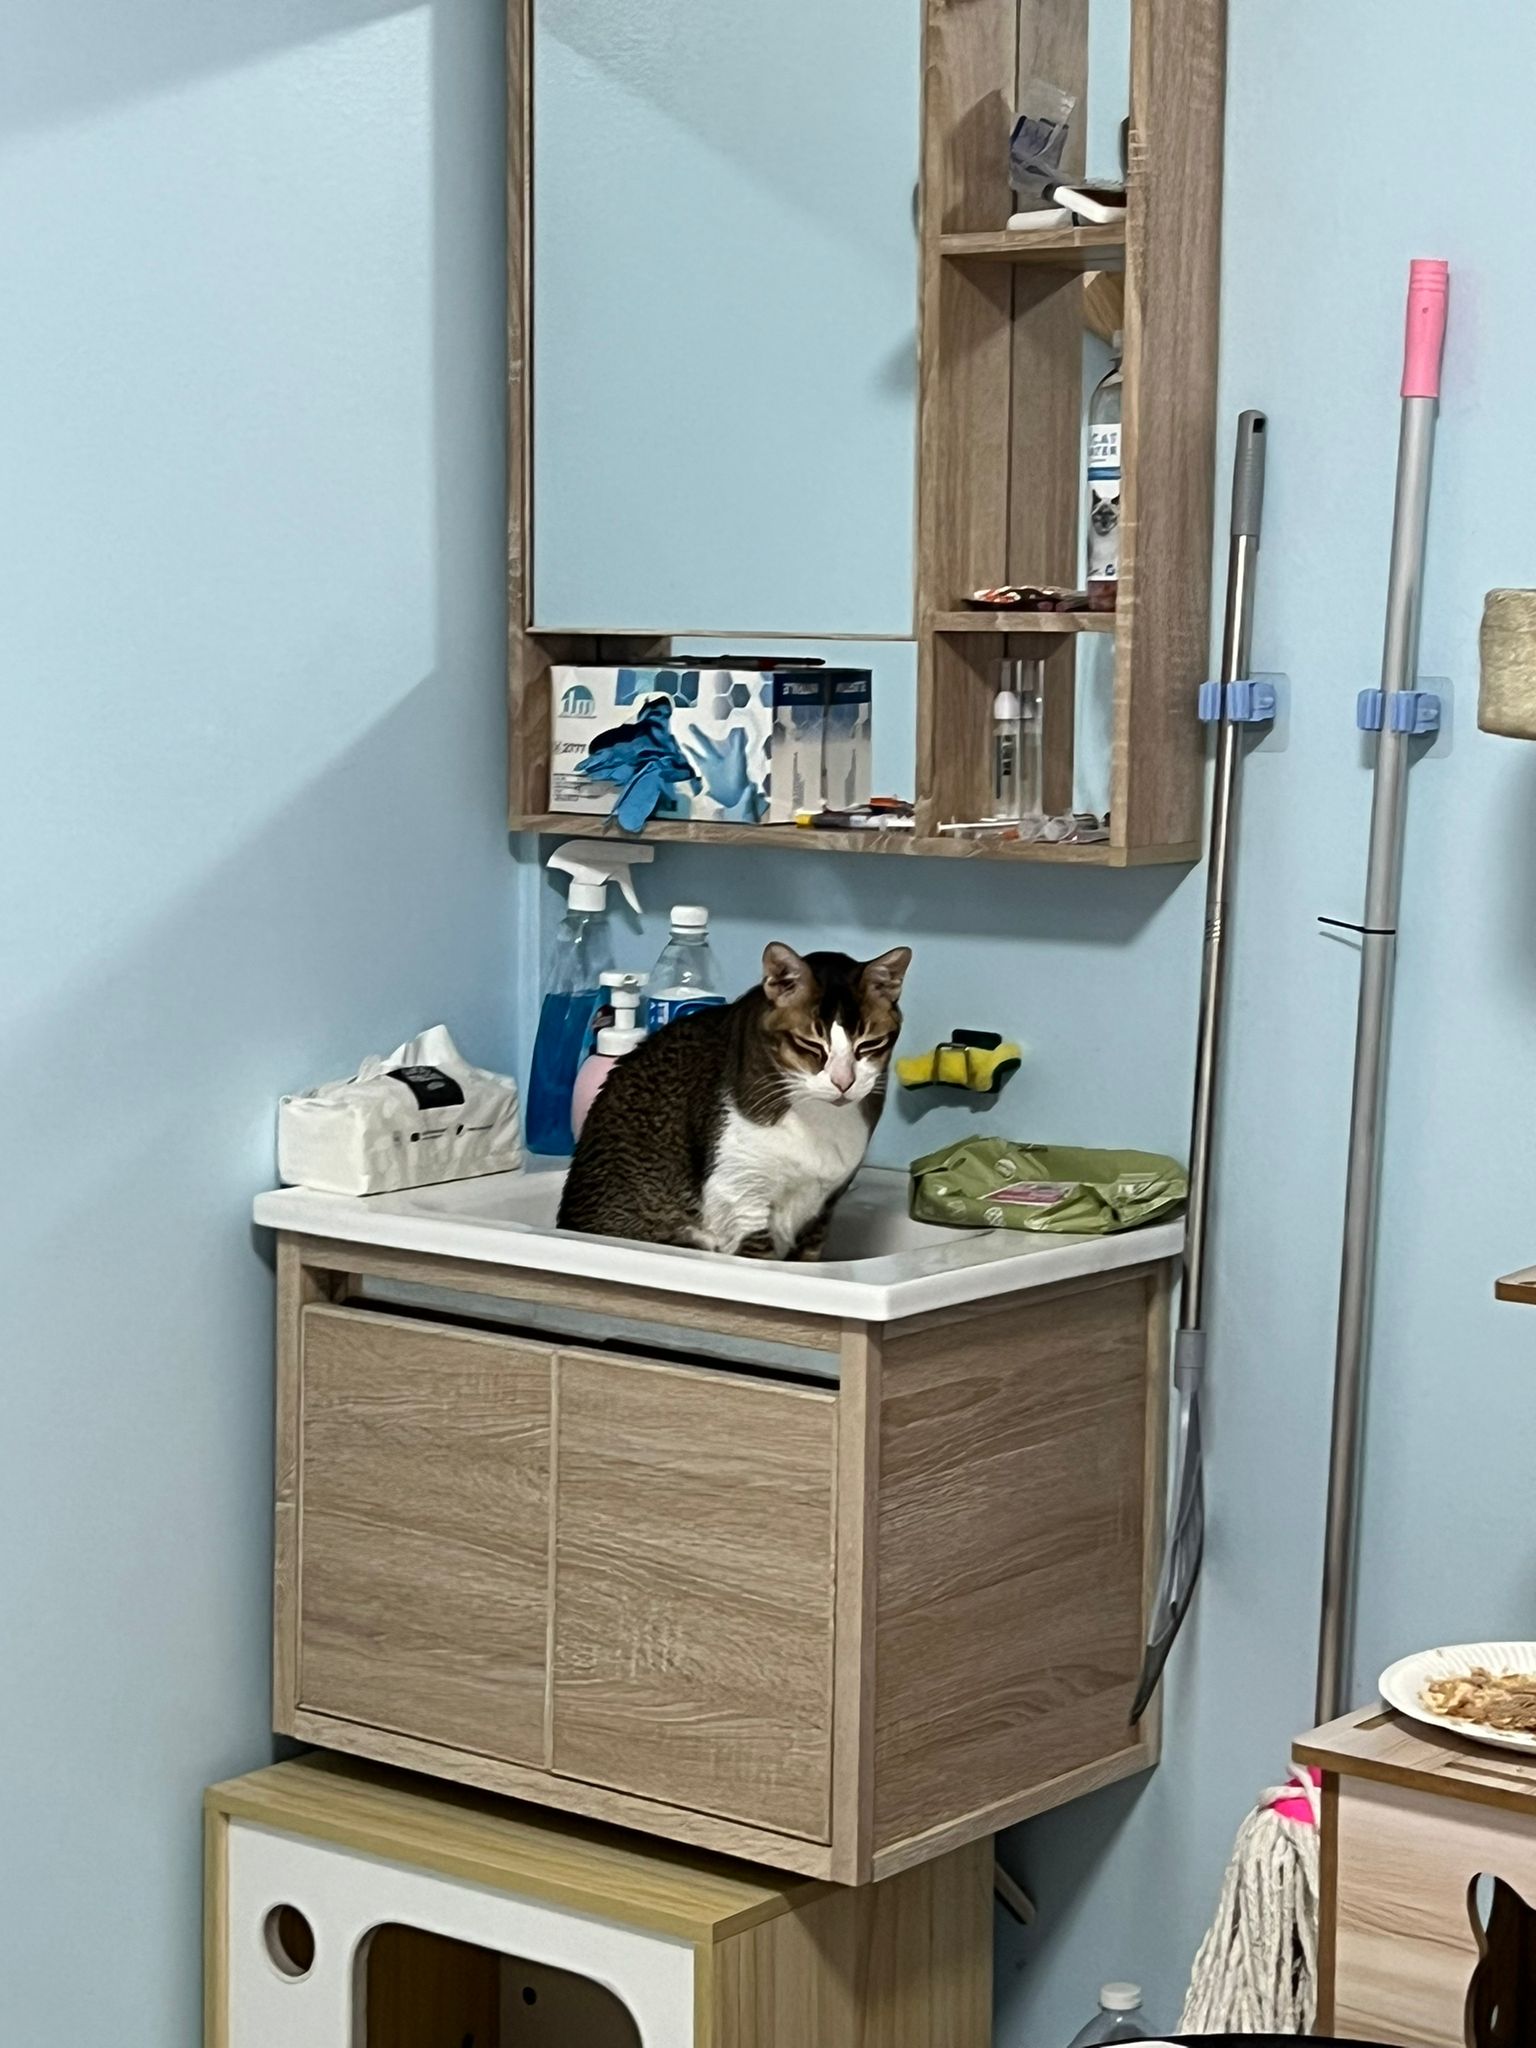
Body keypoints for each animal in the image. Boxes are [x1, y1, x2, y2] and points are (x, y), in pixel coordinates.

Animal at [557, 942, 911, 1259]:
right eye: (810, 1044)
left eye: (870, 1044)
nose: (843, 1082)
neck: (819, 1121)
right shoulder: (741, 1198)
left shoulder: (822, 1209)